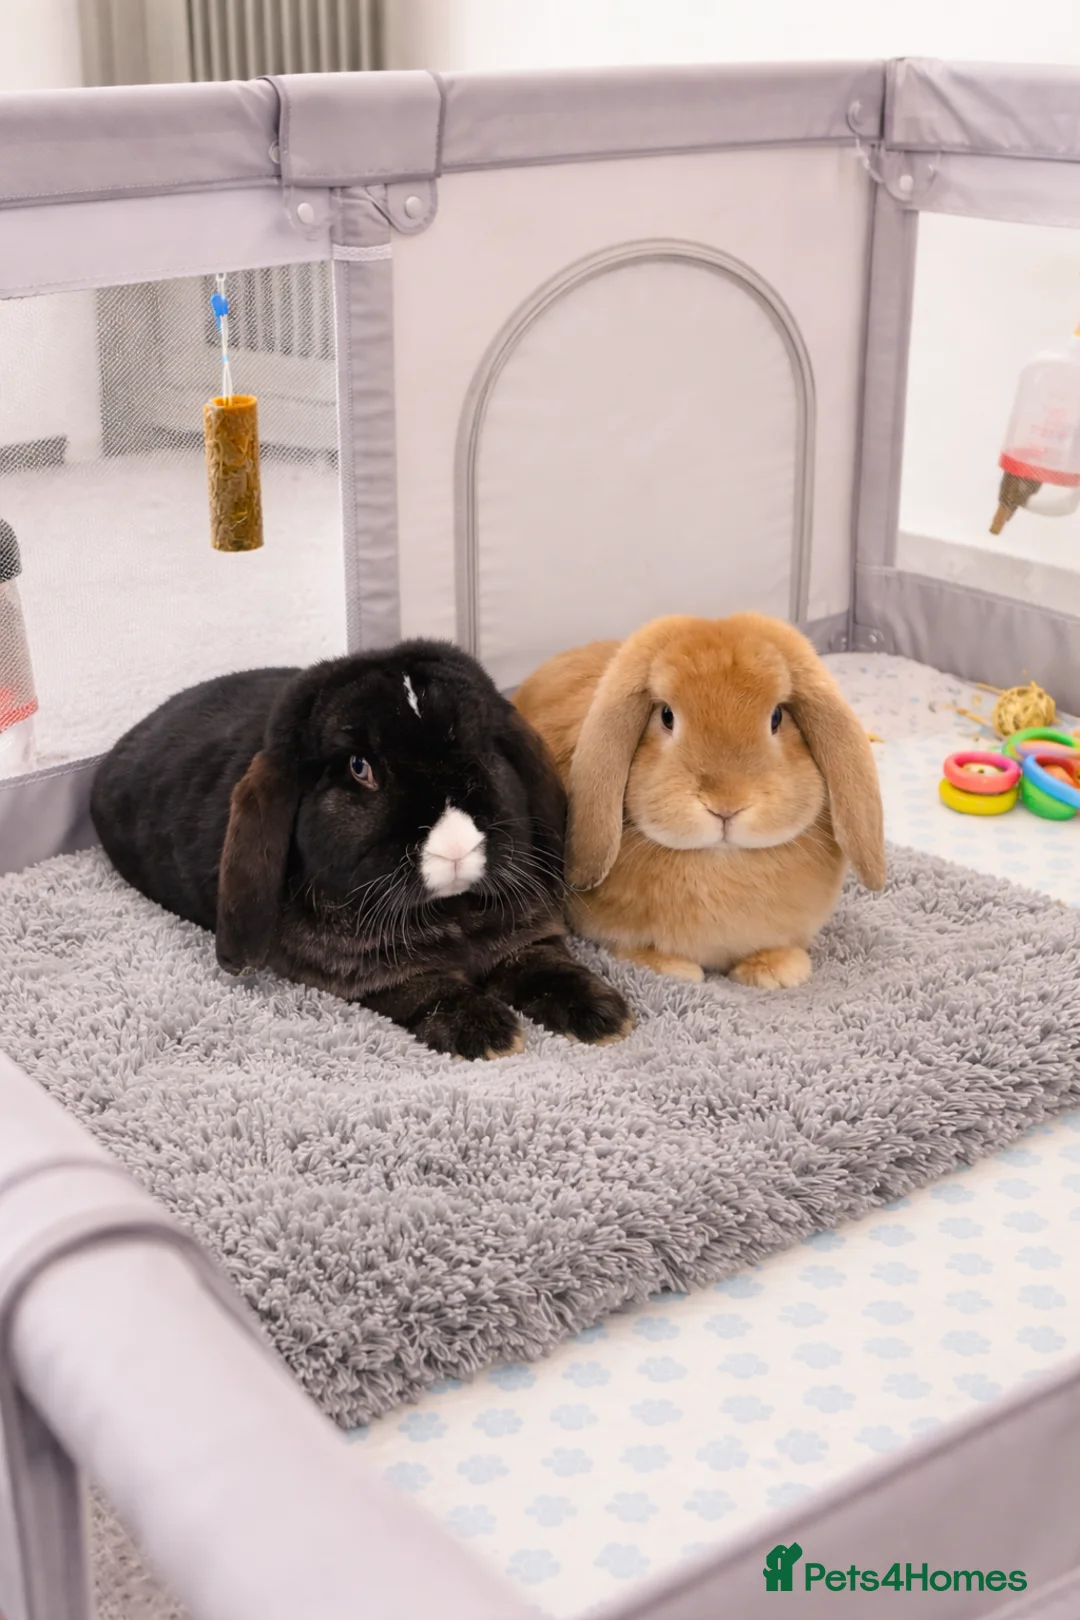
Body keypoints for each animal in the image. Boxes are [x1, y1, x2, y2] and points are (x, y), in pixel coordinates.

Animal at [90, 640, 633, 1060]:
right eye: (359, 767)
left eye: (483, 748)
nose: (456, 846)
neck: (450, 911)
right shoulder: (367, 976)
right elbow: (426, 988)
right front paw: (487, 1034)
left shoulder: (527, 939)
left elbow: (546, 965)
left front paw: (605, 1017)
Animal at [514, 613, 885, 988]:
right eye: (666, 716)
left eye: (777, 717)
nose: (726, 803)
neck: (721, 861)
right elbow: (631, 950)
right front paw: (673, 969)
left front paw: (776, 971)